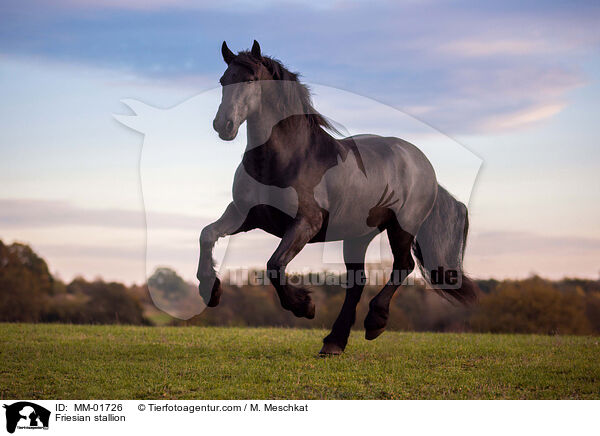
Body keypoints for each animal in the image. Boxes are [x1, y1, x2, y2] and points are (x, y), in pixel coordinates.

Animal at [198, 41, 478, 354]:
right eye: (223, 81)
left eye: (250, 80)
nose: (223, 125)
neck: (287, 158)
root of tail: (422, 164)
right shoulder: (245, 215)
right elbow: (207, 235)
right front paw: (210, 291)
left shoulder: (306, 222)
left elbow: (274, 265)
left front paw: (305, 306)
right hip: (358, 235)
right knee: (358, 282)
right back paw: (334, 342)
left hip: (401, 227)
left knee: (402, 265)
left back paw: (375, 322)